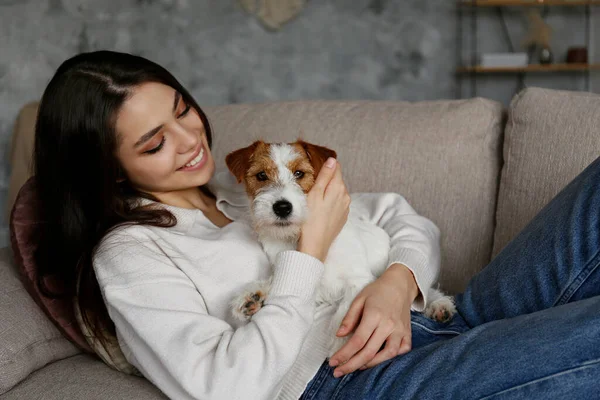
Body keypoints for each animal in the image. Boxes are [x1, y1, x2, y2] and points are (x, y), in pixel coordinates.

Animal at [225, 139, 454, 354]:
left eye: (299, 173)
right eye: (261, 175)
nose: (282, 207)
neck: (294, 237)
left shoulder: (359, 280)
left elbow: (347, 310)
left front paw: (342, 343)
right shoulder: (312, 286)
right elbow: (280, 282)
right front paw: (252, 295)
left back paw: (439, 304)